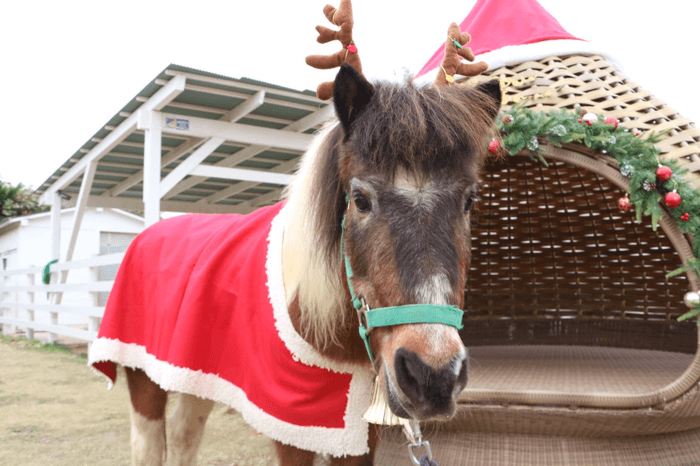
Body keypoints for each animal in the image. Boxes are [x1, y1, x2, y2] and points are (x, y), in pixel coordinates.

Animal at [89, 62, 504, 466]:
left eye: (469, 201)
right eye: (360, 199)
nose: (433, 375)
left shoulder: (358, 434)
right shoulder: (291, 429)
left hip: (194, 376)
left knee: (183, 434)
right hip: (144, 378)